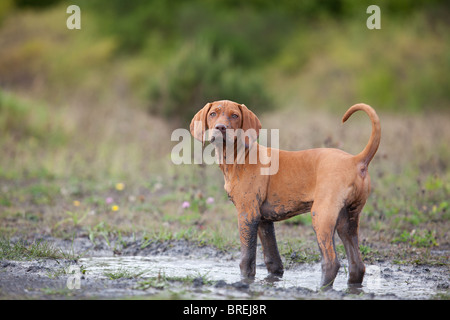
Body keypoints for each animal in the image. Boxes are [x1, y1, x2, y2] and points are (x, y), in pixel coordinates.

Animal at [189, 99, 380, 288]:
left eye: (235, 116)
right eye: (213, 113)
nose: (221, 127)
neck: (239, 156)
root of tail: (356, 160)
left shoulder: (247, 215)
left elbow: (247, 259)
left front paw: (245, 282)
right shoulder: (264, 221)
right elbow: (273, 259)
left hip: (322, 216)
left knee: (331, 262)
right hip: (347, 221)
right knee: (357, 265)